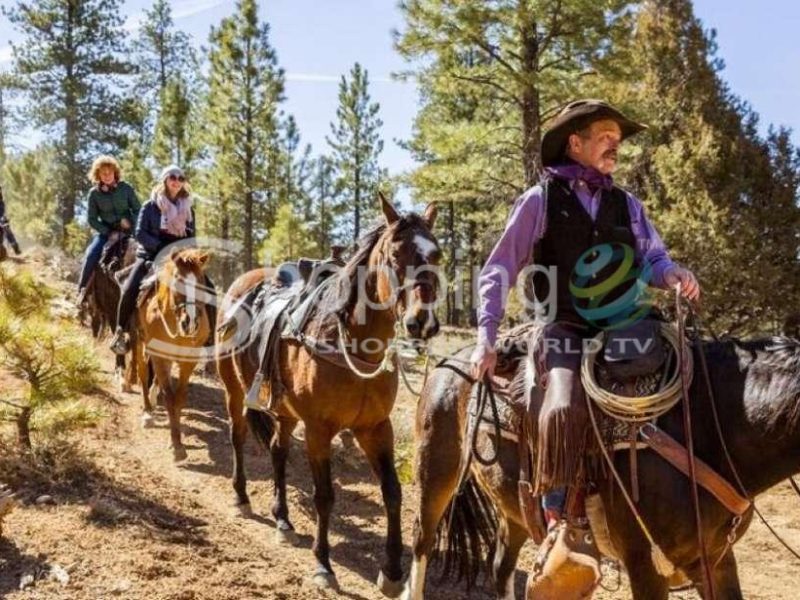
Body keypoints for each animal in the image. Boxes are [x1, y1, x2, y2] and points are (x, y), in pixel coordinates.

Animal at [136, 247, 214, 460]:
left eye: (201, 281)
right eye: (178, 279)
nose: (191, 323)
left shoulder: (189, 359)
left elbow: (179, 397)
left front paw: (177, 441)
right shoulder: (158, 355)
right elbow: (169, 397)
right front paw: (177, 446)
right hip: (139, 342)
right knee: (143, 374)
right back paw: (147, 412)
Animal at [217, 197, 444, 596]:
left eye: (438, 255)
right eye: (395, 254)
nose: (422, 322)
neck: (350, 341)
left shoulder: (375, 428)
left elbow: (393, 492)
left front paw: (392, 571)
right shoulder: (319, 430)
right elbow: (324, 496)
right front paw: (323, 564)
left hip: (285, 411)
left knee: (277, 449)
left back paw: (283, 520)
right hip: (234, 391)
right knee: (238, 436)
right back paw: (241, 497)